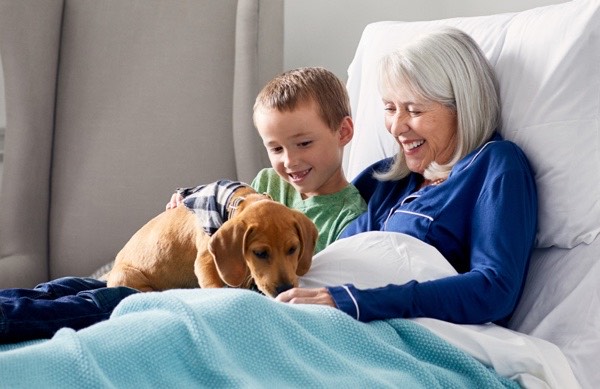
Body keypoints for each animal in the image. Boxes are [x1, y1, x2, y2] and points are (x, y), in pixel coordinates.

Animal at [106, 186, 318, 296]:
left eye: (293, 249)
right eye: (259, 253)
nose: (285, 289)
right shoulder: (205, 261)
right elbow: (215, 286)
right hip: (128, 277)